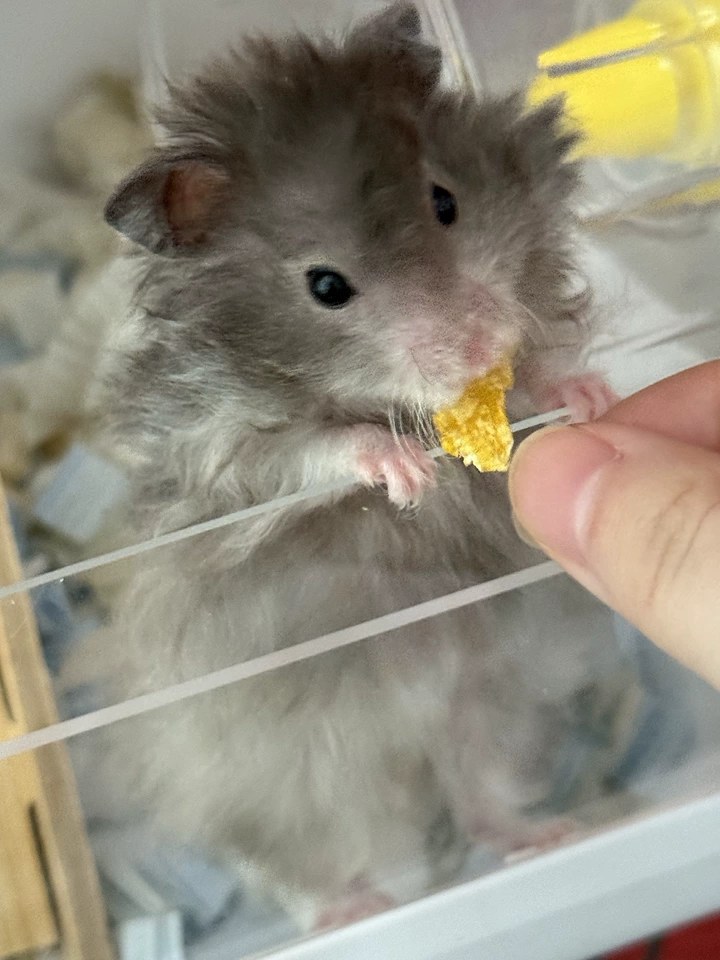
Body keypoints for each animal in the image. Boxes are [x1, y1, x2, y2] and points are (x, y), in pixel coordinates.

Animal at [66, 2, 620, 930]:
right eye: (326, 287)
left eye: (445, 201)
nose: (477, 345)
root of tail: (412, 756)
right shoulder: (230, 453)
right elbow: (316, 449)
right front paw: (408, 472)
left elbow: (541, 369)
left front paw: (590, 397)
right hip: (289, 788)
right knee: (302, 865)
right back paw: (353, 912)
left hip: (494, 698)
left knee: (482, 794)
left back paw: (548, 838)